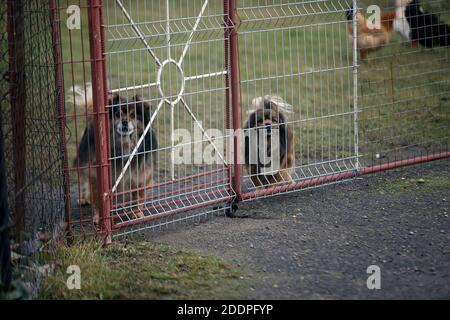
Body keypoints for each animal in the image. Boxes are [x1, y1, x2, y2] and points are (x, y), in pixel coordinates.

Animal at [68, 85, 156, 225]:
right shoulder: (96, 174)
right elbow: (98, 198)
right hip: (83, 160)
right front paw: (99, 217)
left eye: (133, 115)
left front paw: (136, 213)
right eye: (117, 114)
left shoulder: (140, 174)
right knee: (82, 178)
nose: (125, 121)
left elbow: (138, 196)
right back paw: (83, 198)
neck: (123, 144)